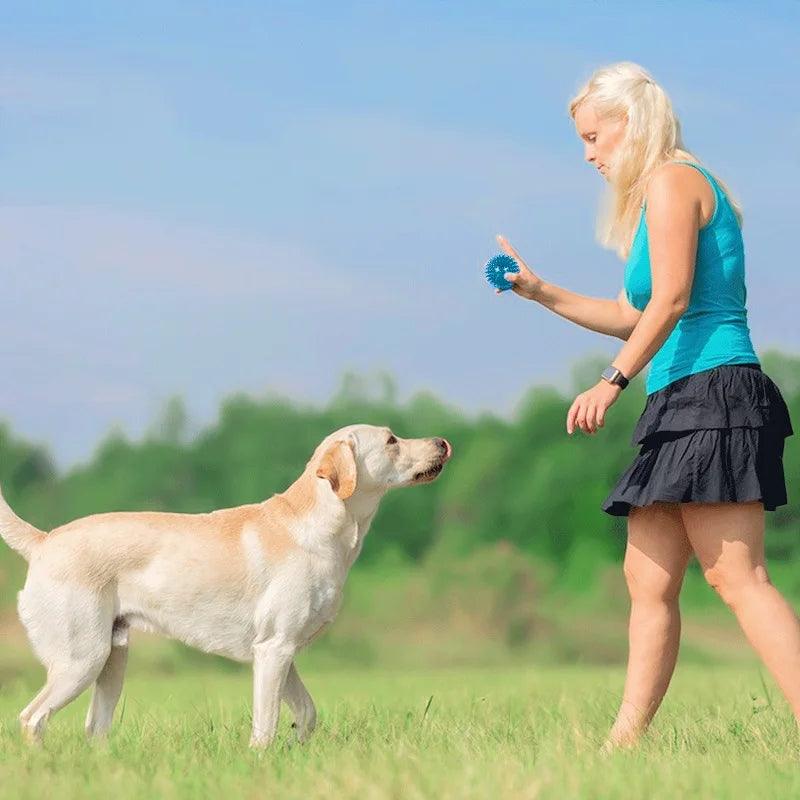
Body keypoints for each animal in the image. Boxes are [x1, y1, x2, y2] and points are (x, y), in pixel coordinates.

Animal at [0, 424, 450, 752]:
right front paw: (262, 761)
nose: (443, 442)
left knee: (93, 729)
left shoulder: (282, 651)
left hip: (112, 660)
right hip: (81, 659)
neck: (323, 527)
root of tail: (44, 540)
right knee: (32, 718)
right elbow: (266, 724)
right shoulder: (273, 650)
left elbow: (306, 713)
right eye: (391, 440)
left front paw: (295, 749)